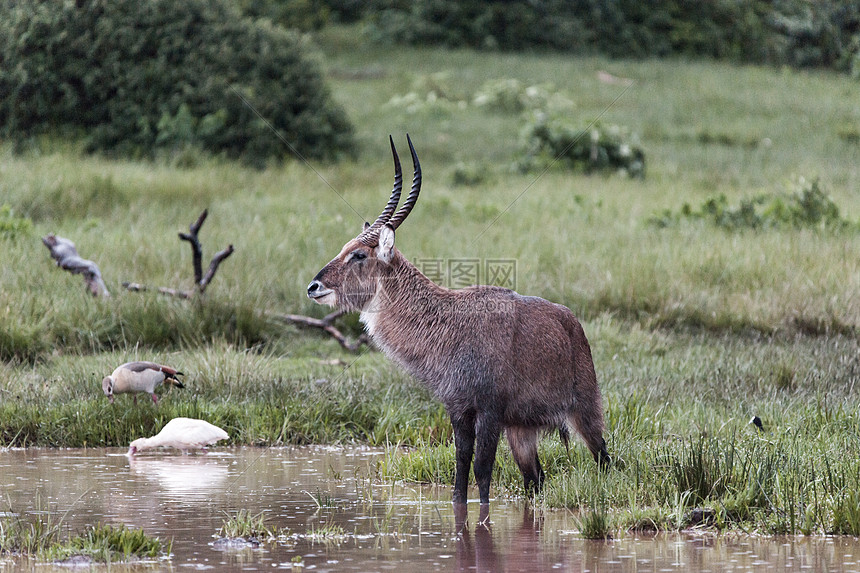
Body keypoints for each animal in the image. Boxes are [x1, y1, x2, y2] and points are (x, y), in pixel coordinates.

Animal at [310, 134, 612, 500]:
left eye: (358, 255)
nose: (314, 286)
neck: (445, 320)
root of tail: (571, 322)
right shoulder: (457, 409)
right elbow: (460, 474)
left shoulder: (489, 411)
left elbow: (481, 472)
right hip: (521, 429)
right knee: (535, 479)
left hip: (585, 411)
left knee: (604, 458)